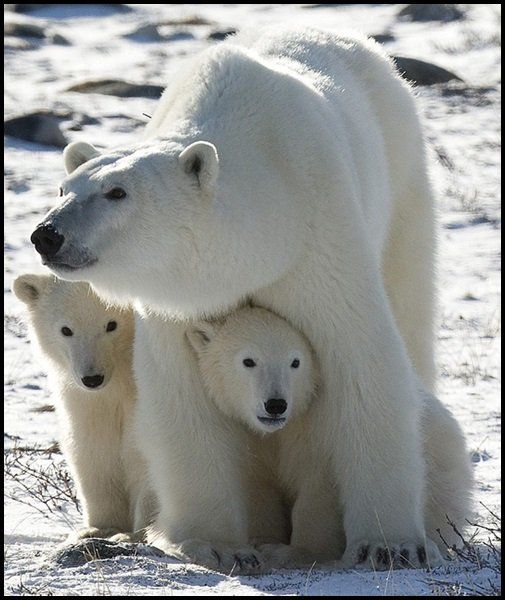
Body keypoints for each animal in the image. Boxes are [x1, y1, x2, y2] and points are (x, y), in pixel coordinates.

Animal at [13, 274, 154, 540]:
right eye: (66, 330)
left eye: (111, 324)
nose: (92, 378)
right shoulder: (84, 401)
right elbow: (93, 448)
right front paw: (100, 528)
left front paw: (136, 534)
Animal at [29, 27, 470, 572]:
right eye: (63, 187)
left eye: (117, 193)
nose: (47, 235)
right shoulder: (180, 303)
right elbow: (180, 395)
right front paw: (215, 543)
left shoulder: (318, 240)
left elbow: (363, 361)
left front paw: (387, 545)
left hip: (401, 180)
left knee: (409, 305)